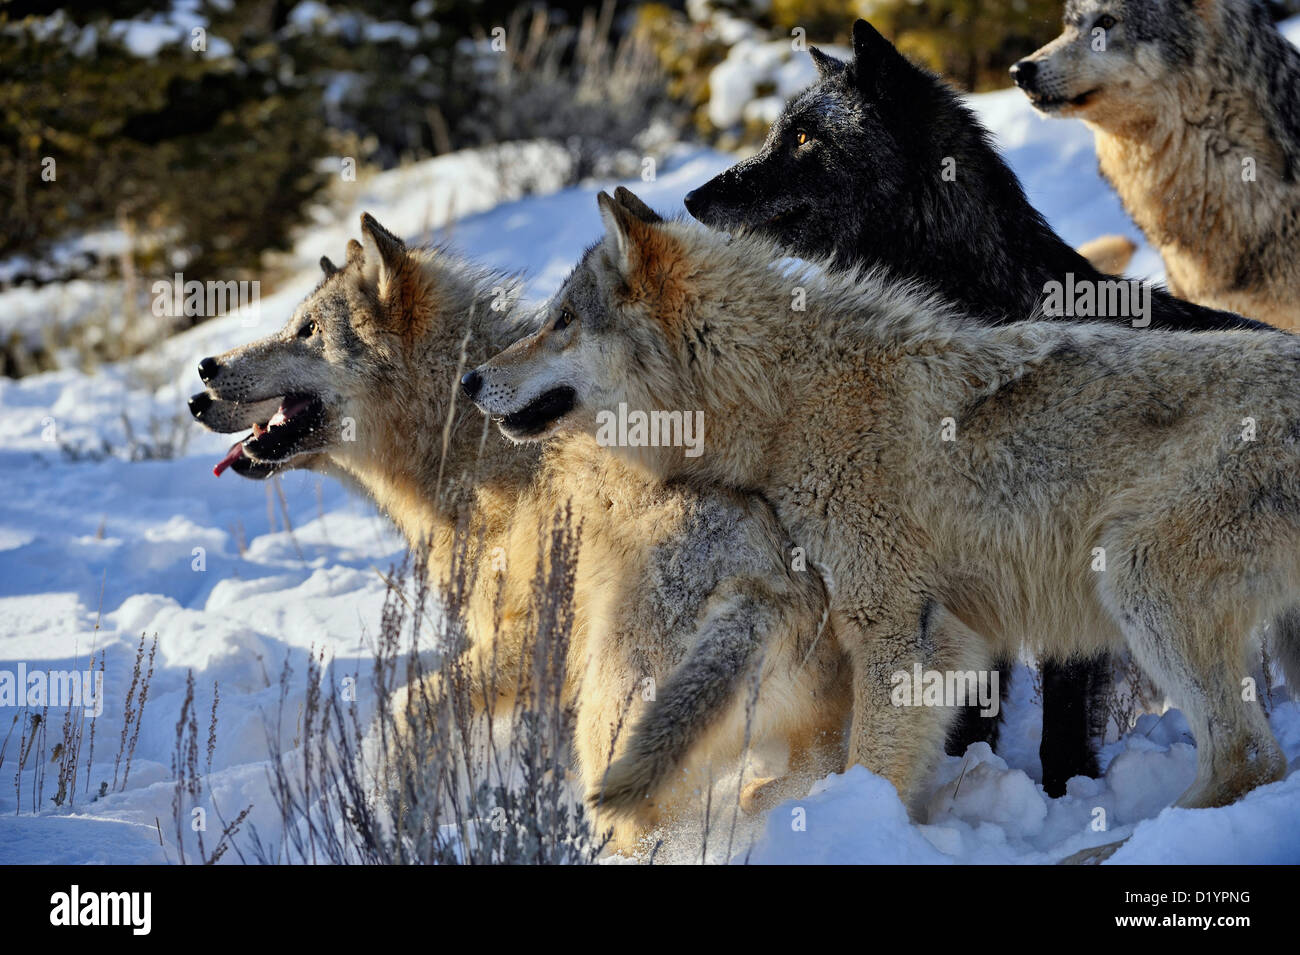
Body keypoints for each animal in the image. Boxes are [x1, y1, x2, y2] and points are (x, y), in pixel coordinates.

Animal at [188, 213, 847, 857]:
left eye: (307, 330)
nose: (201, 375)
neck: (473, 457)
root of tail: (765, 593)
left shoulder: (531, 637)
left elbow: (409, 704)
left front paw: (396, 811)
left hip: (605, 731)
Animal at [467, 188, 1300, 831]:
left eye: (562, 321)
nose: (472, 379)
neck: (786, 397)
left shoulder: (898, 622)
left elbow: (869, 765)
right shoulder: (954, 640)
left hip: (1134, 573)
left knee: (1248, 758)